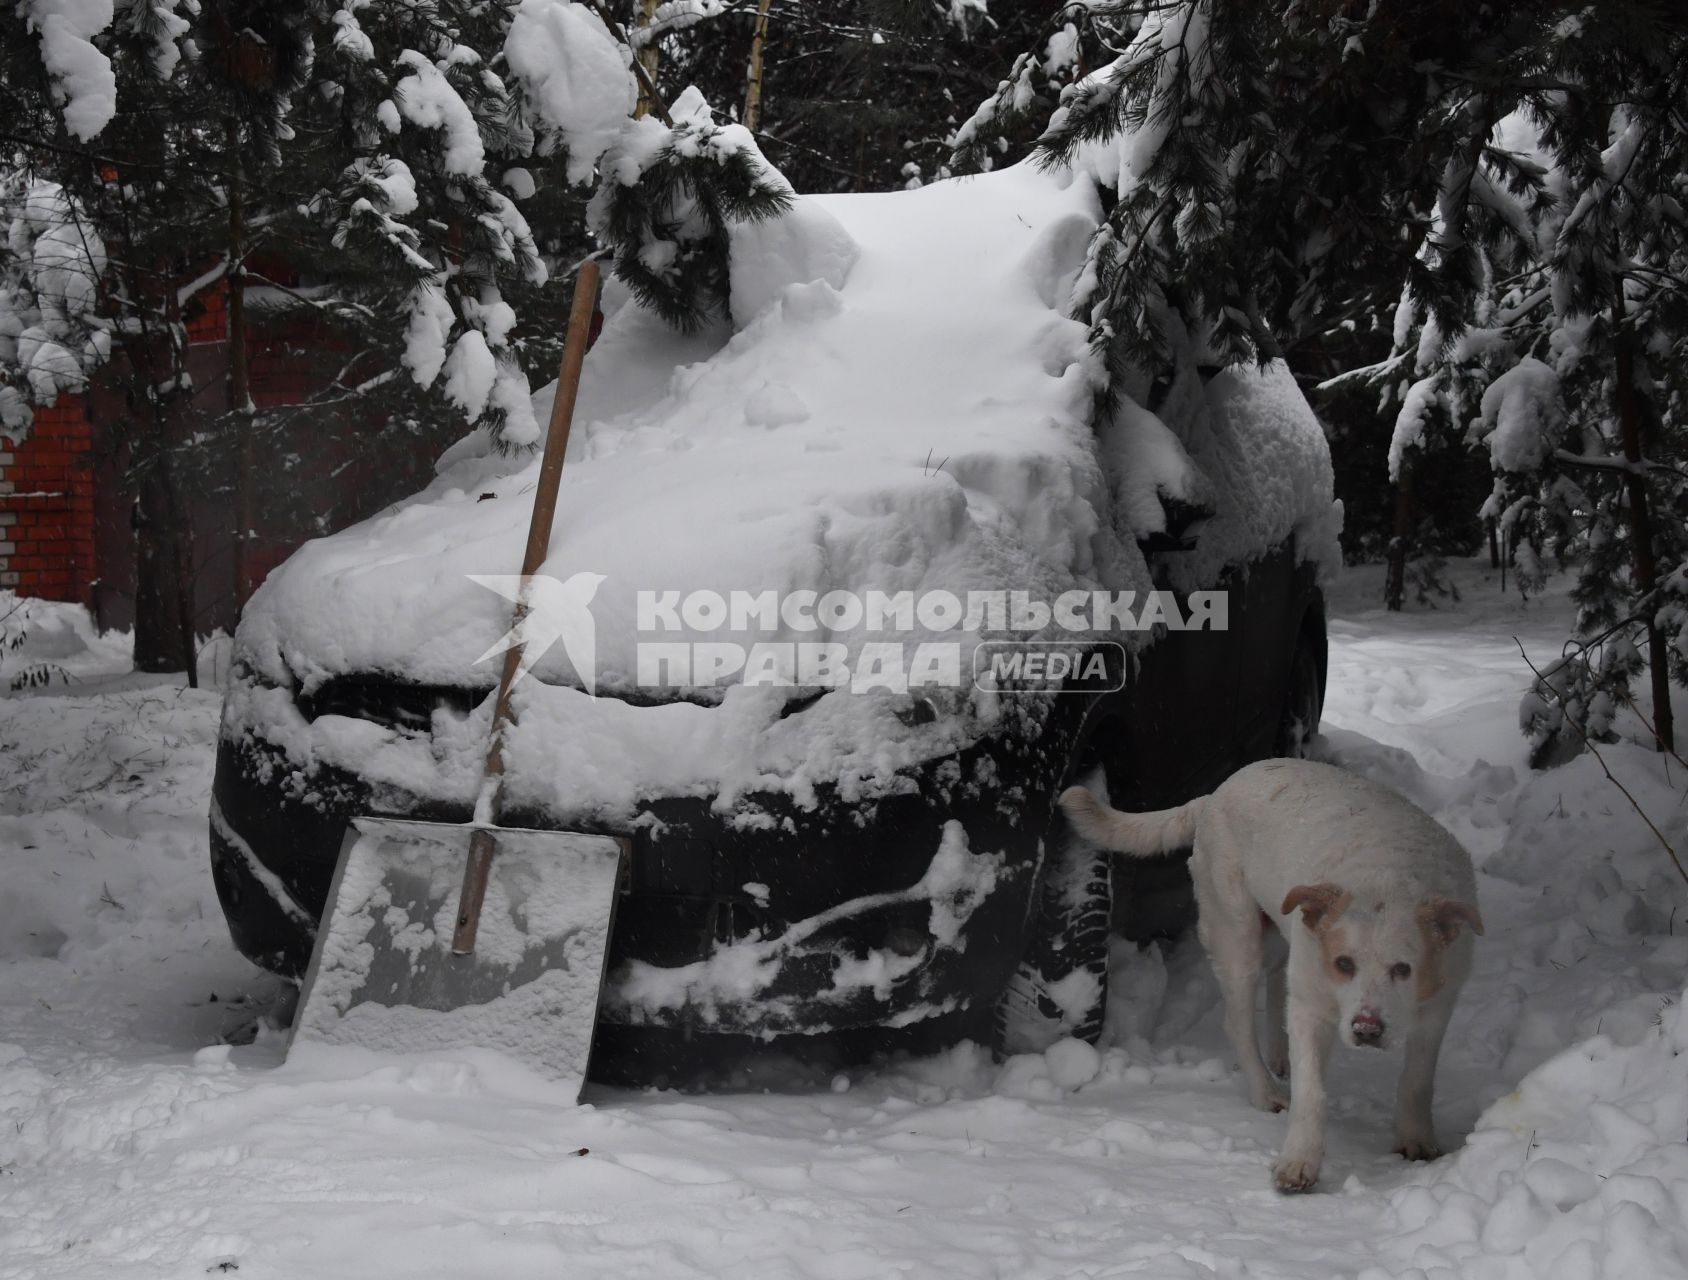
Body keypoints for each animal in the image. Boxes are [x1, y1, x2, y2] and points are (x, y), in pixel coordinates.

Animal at [1060, 763, 1485, 1195]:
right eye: (1343, 963)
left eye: (1403, 969)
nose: (1366, 1029)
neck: (1389, 877)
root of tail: (1214, 795)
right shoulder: (1311, 1007)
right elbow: (1311, 1093)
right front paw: (1299, 1161)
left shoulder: (1436, 1010)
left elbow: (1416, 1082)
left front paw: (1416, 1139)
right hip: (1237, 936)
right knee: (1238, 1022)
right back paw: (1266, 1092)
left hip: (1281, 932)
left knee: (1279, 980)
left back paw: (1280, 1054)